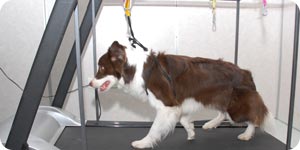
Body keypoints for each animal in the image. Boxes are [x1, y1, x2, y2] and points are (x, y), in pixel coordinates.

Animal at [88, 40, 274, 149]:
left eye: (102, 68)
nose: (90, 83)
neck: (136, 69)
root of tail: (246, 72)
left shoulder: (167, 105)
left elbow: (154, 128)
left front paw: (143, 143)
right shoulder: (179, 104)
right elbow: (184, 120)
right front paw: (191, 131)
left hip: (236, 107)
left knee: (254, 118)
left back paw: (246, 134)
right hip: (220, 98)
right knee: (223, 112)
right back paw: (210, 124)